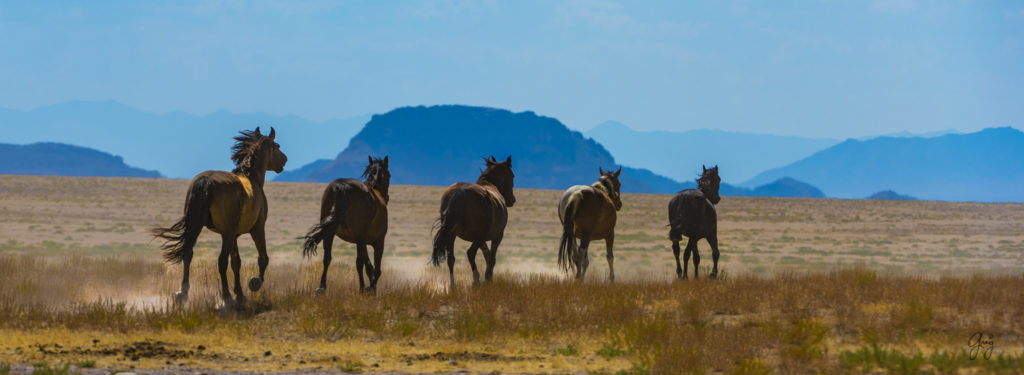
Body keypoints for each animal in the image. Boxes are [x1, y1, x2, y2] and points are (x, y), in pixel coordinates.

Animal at [148, 126, 286, 305]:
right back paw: (226, 296)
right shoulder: (257, 228)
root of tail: (206, 181)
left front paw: (240, 294)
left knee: (188, 254)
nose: (284, 160)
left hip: (196, 227)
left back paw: (182, 293)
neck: (251, 178)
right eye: (277, 146)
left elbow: (236, 262)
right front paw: (254, 283)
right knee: (221, 261)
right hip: (226, 233)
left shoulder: (234, 235)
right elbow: (262, 258)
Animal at [301, 155, 389, 293]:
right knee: (361, 263)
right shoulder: (378, 242)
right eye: (389, 175)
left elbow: (367, 265)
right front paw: (370, 288)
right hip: (360, 237)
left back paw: (322, 287)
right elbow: (375, 269)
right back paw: (362, 287)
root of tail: (341, 186)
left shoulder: (361, 240)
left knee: (327, 258)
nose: (387, 197)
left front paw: (369, 287)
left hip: (330, 233)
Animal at [430, 155, 516, 286]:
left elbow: (487, 256)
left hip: (452, 234)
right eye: (512, 175)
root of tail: (459, 193)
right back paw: (476, 280)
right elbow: (491, 258)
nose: (512, 200)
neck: (489, 184)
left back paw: (453, 286)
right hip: (478, 236)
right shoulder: (497, 236)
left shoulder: (482, 240)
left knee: (451, 259)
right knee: (470, 253)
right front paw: (488, 278)